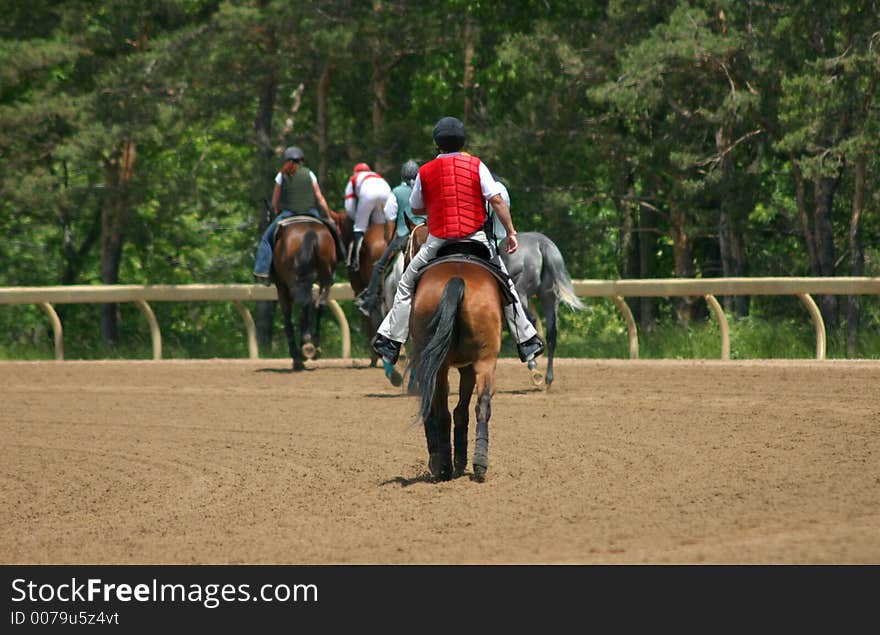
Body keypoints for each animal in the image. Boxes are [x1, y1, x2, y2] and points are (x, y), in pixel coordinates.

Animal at [272, 216, 336, 370]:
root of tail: (310, 232)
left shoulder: (281, 285)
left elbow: (287, 315)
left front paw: (296, 355)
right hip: (325, 278)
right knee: (319, 304)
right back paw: (313, 346)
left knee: (305, 305)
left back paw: (303, 349)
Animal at [410, 251, 506, 480]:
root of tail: (457, 279)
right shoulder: (469, 367)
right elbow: (461, 410)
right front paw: (460, 461)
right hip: (485, 362)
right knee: (482, 405)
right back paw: (479, 463)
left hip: (441, 366)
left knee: (443, 412)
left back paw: (444, 466)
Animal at [502, 232, 584, 388]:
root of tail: (541, 243)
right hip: (550, 298)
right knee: (552, 334)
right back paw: (548, 377)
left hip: (521, 294)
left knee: (530, 321)